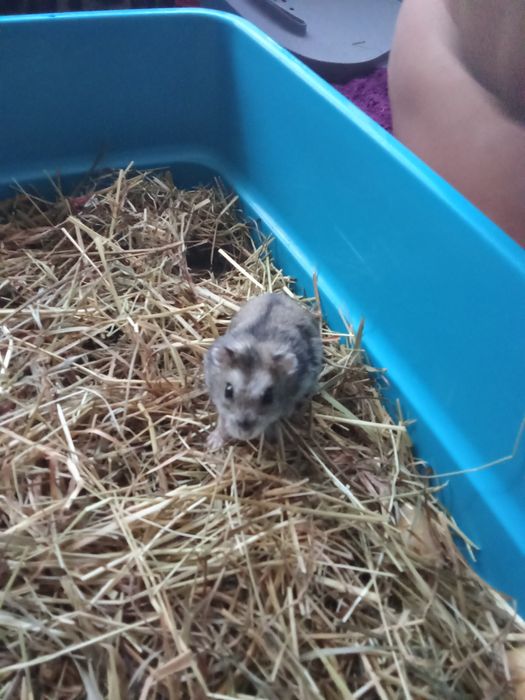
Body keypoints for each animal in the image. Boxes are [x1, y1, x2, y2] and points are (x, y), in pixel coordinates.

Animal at [204, 292, 323, 450]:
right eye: (227, 391)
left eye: (268, 397)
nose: (244, 435)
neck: (255, 347)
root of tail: (277, 294)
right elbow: (222, 419)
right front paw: (212, 444)